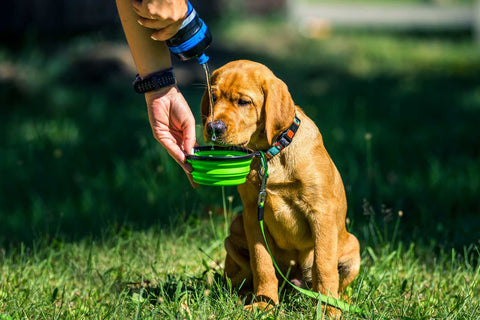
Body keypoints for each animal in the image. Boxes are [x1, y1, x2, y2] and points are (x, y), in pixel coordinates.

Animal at [200, 60, 360, 318]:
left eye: (243, 102)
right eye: (213, 98)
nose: (213, 128)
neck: (269, 155)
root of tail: (292, 284)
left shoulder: (321, 213)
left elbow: (324, 266)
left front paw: (328, 307)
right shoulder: (252, 216)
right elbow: (262, 264)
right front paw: (264, 303)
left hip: (353, 246)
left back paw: (341, 300)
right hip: (234, 231)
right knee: (237, 279)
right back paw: (245, 295)